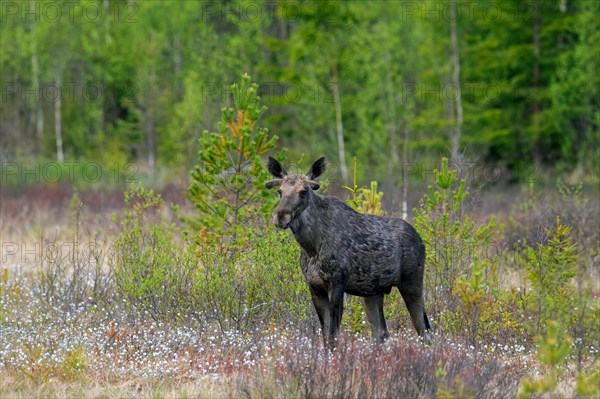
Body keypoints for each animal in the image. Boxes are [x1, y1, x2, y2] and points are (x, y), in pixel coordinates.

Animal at [266, 156, 432, 346]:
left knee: (425, 330)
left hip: (412, 282)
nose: (280, 216)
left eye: (303, 191)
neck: (310, 246)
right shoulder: (314, 286)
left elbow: (333, 336)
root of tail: (421, 241)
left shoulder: (337, 283)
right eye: (280, 191)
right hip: (373, 291)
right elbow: (325, 337)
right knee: (380, 332)